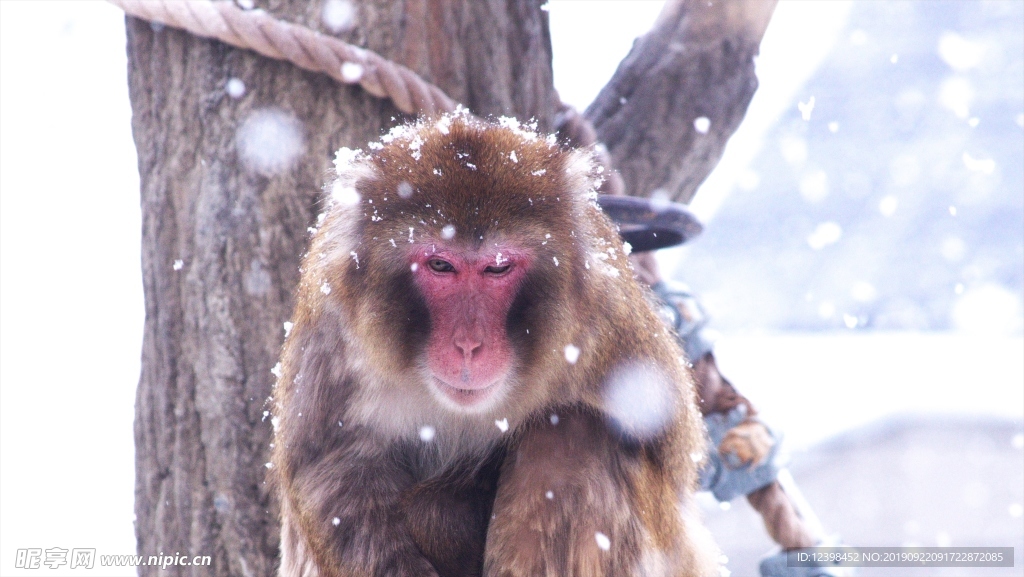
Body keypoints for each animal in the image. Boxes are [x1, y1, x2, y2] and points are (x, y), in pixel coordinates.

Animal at [272, 114, 720, 577]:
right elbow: (331, 470)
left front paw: (446, 509)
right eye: (441, 265)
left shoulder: (607, 318)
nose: (469, 345)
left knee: (570, 439)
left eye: (498, 268)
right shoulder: (331, 325)